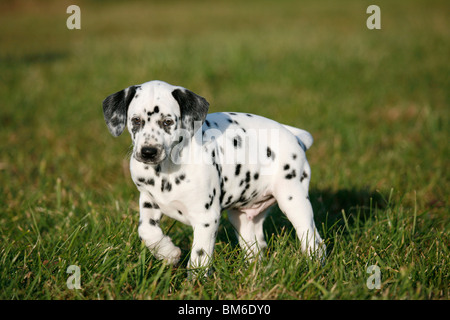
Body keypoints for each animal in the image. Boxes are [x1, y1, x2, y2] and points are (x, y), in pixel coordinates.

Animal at [103, 79, 326, 270]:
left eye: (167, 122)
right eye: (136, 120)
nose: (148, 152)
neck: (165, 170)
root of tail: (296, 137)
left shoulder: (206, 218)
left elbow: (199, 256)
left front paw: (195, 283)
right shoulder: (149, 200)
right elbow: (146, 231)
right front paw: (168, 252)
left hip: (294, 201)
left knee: (313, 240)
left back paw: (314, 266)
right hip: (243, 218)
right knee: (255, 248)